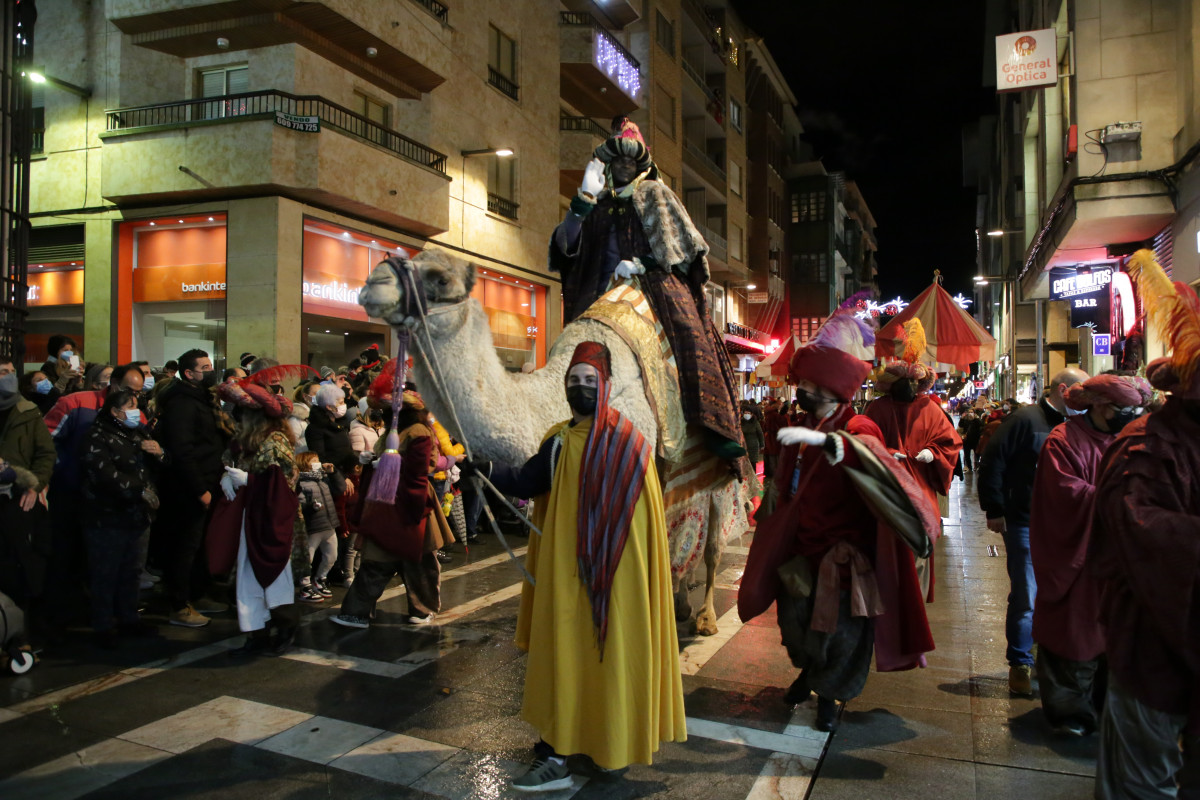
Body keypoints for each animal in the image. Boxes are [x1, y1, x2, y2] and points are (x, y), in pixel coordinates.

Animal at [355, 247, 753, 633]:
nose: (373, 284)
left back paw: (705, 616)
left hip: (715, 469)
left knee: (712, 537)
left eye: (440, 277)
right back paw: (681, 604)